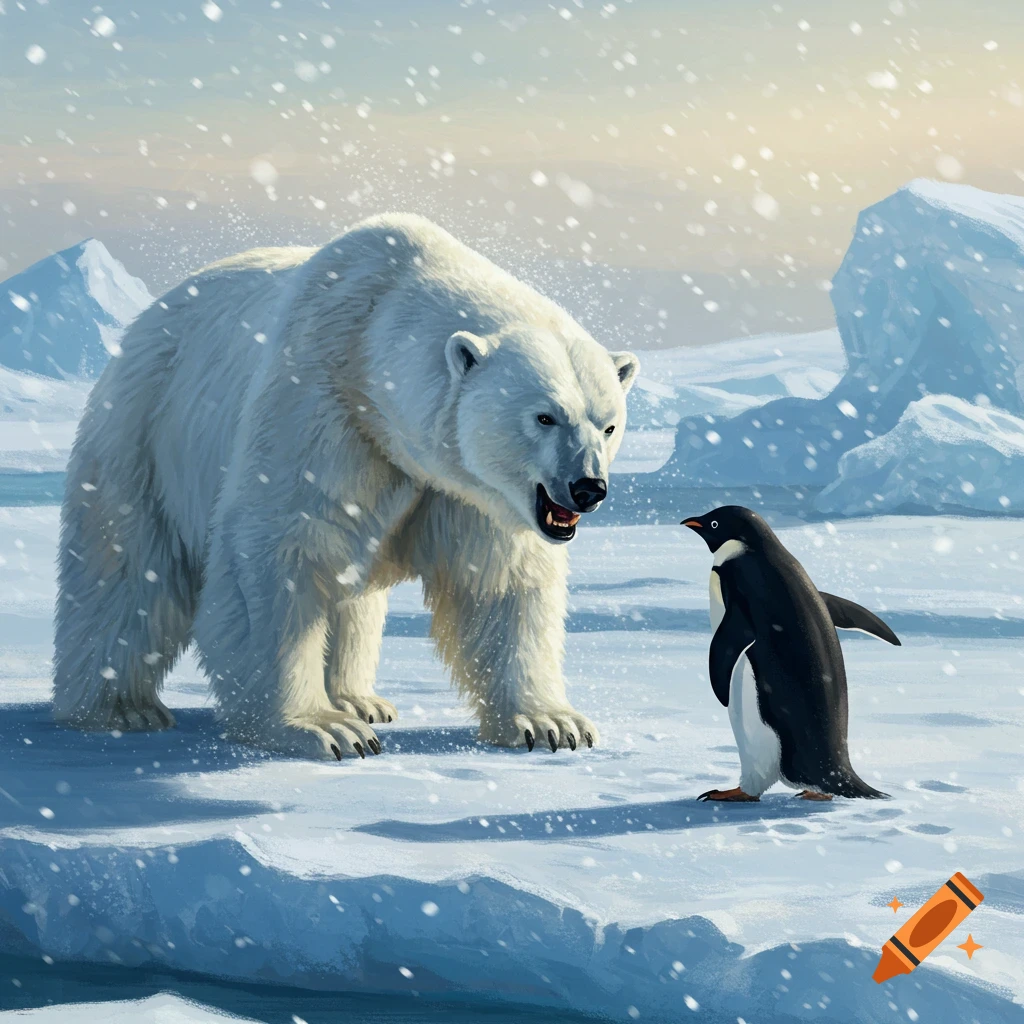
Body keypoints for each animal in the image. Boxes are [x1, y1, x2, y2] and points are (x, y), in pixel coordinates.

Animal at [52, 214, 640, 760]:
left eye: (608, 424)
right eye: (544, 416)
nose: (588, 487)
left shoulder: (467, 489)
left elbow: (501, 580)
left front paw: (551, 724)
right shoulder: (318, 405)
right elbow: (279, 551)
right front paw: (322, 729)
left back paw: (361, 699)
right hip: (144, 433)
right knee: (126, 571)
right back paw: (119, 709)